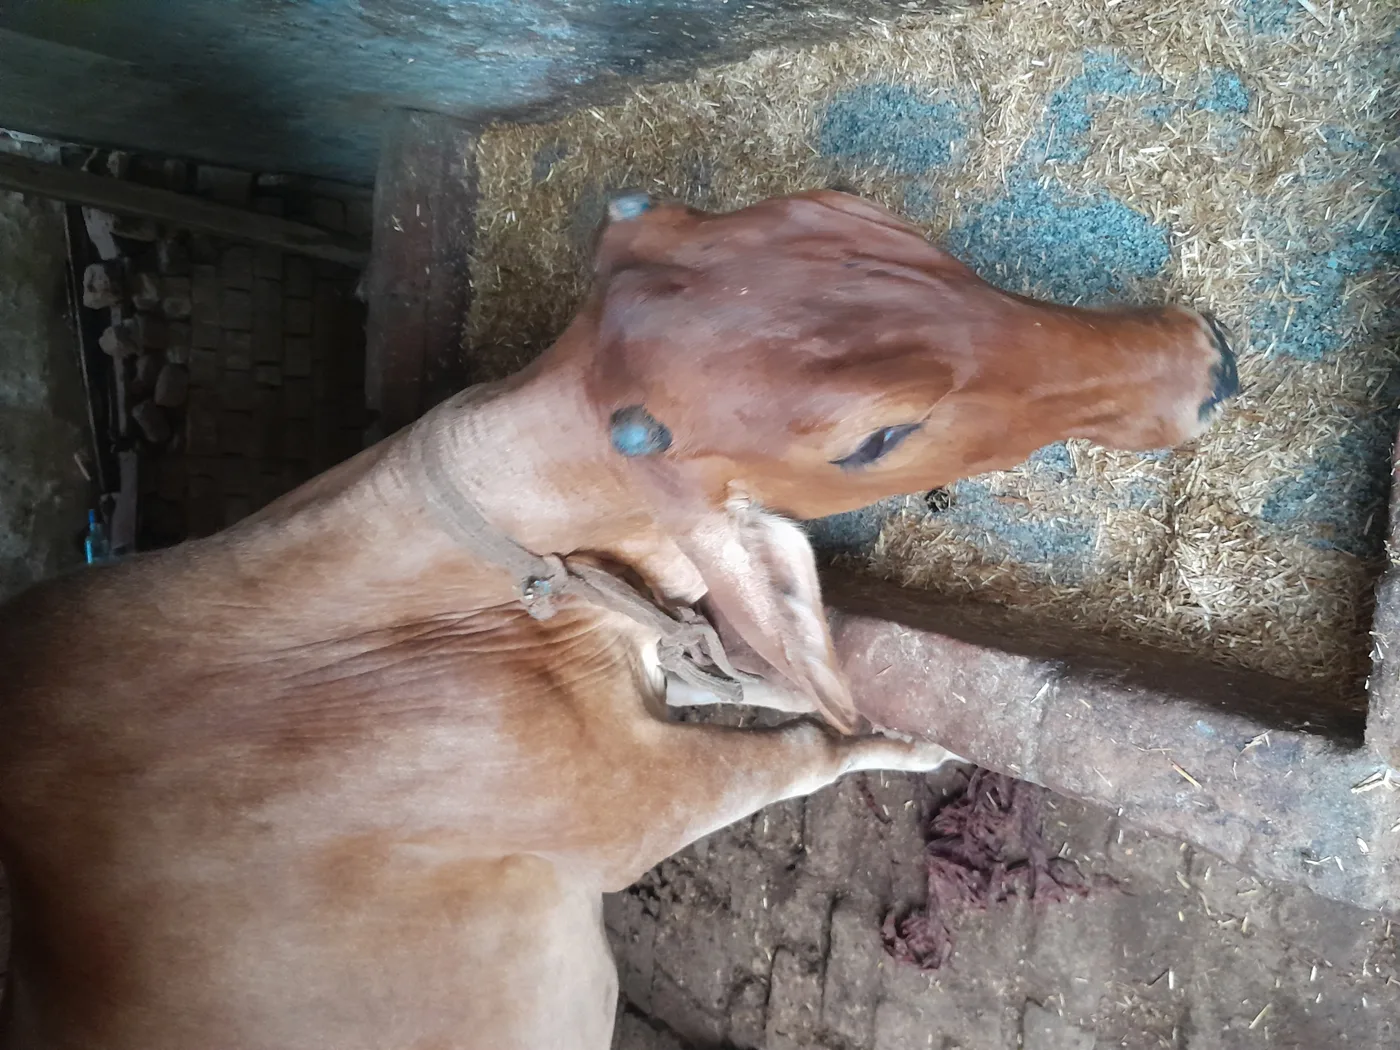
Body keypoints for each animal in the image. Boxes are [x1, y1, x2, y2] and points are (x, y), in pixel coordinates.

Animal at [0, 190, 1238, 1049]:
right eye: (877, 436)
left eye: (859, 215)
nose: (1202, 360)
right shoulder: (633, 811)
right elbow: (800, 746)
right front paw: (909, 741)